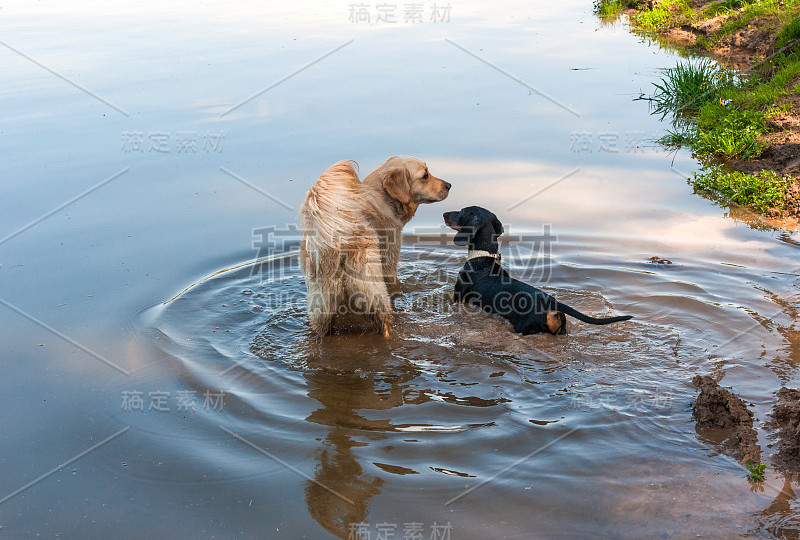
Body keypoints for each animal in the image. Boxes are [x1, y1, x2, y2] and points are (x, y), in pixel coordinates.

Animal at [440, 206, 636, 334]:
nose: (444, 213)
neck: (483, 258)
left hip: (523, 328)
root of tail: (552, 303)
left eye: (461, 212)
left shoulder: (458, 297)